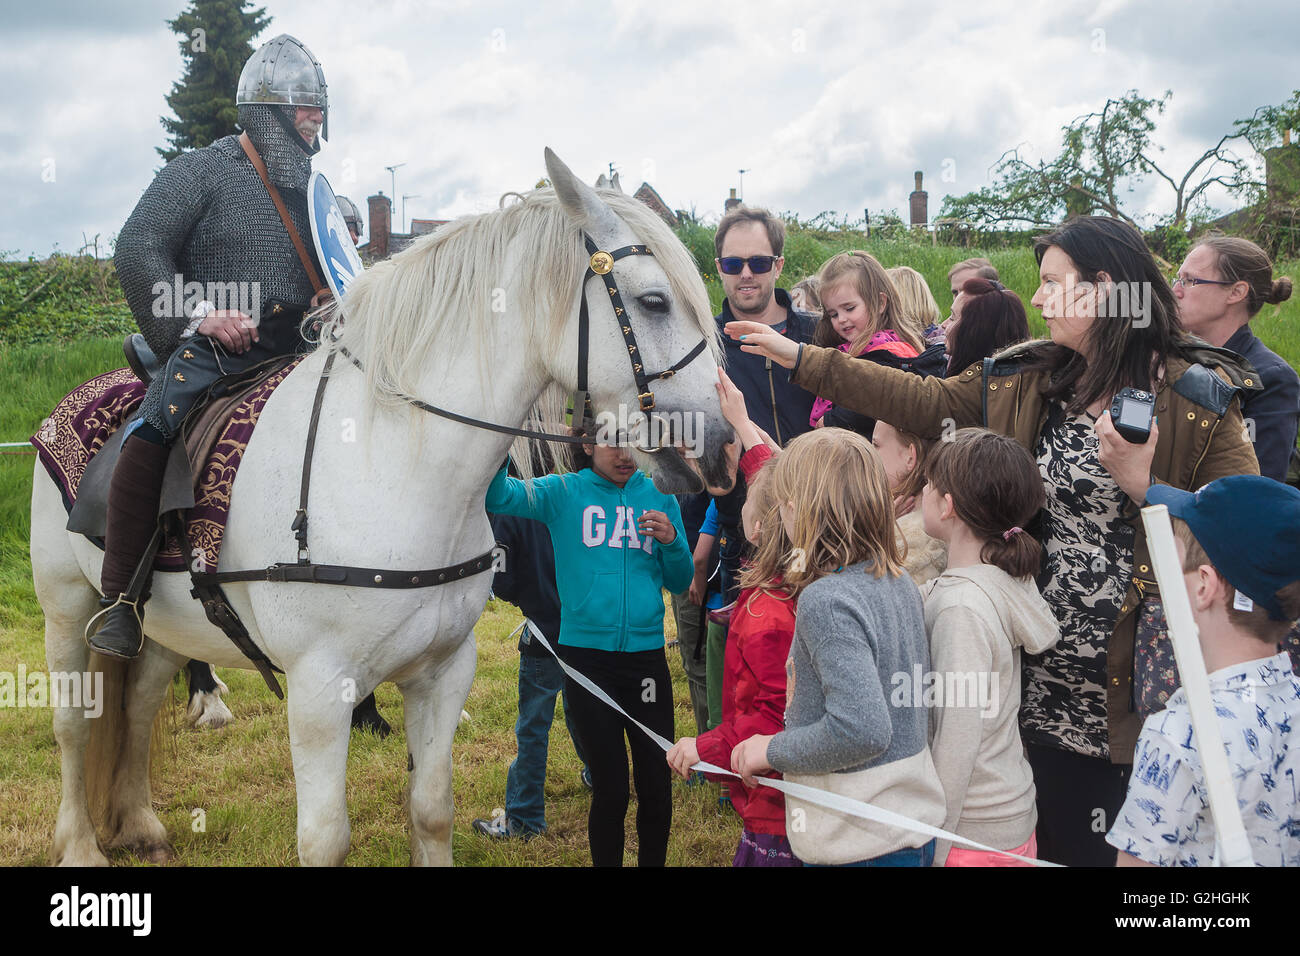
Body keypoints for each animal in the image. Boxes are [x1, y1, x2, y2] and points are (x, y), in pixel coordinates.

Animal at [30, 149, 733, 868]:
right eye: (653, 300)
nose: (722, 444)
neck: (394, 462)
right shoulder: (318, 690)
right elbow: (324, 839)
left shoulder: (443, 673)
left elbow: (430, 810)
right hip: (69, 608)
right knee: (74, 724)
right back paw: (81, 844)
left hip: (170, 626)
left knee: (140, 705)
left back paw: (140, 822)